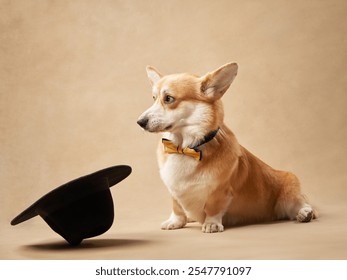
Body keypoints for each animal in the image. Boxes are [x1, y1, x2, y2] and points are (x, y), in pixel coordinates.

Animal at [137, 62, 316, 233]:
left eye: (168, 98)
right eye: (153, 98)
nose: (140, 122)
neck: (186, 147)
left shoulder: (220, 191)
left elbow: (213, 208)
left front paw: (211, 224)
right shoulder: (173, 191)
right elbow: (177, 208)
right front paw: (175, 222)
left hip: (289, 192)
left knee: (302, 205)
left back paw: (305, 213)